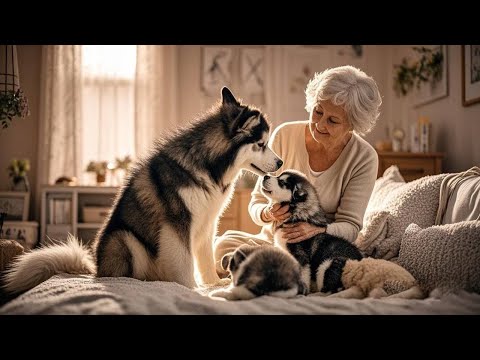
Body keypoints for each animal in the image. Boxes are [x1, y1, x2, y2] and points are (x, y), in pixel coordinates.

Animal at [2, 88, 282, 296]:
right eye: (261, 144)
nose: (280, 163)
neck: (209, 165)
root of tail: (96, 271)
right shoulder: (177, 224)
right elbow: (185, 262)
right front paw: (192, 289)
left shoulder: (207, 222)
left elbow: (204, 257)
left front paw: (212, 283)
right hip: (124, 238)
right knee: (131, 275)